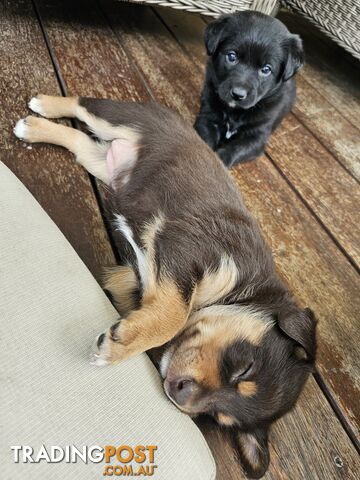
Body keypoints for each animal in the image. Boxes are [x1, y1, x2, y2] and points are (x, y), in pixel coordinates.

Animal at [15, 95, 316, 478]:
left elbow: (157, 303)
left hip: (100, 161)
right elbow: (175, 315)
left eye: (214, 416)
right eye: (244, 369)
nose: (176, 393)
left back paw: (35, 128)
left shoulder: (138, 274)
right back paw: (43, 108)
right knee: (82, 106)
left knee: (80, 141)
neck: (247, 286)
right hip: (121, 118)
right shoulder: (189, 247)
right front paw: (118, 346)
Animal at [194, 11, 304, 167]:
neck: (234, 112)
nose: (237, 95)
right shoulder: (207, 118)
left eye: (266, 69)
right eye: (232, 56)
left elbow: (234, 150)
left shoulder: (256, 137)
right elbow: (205, 142)